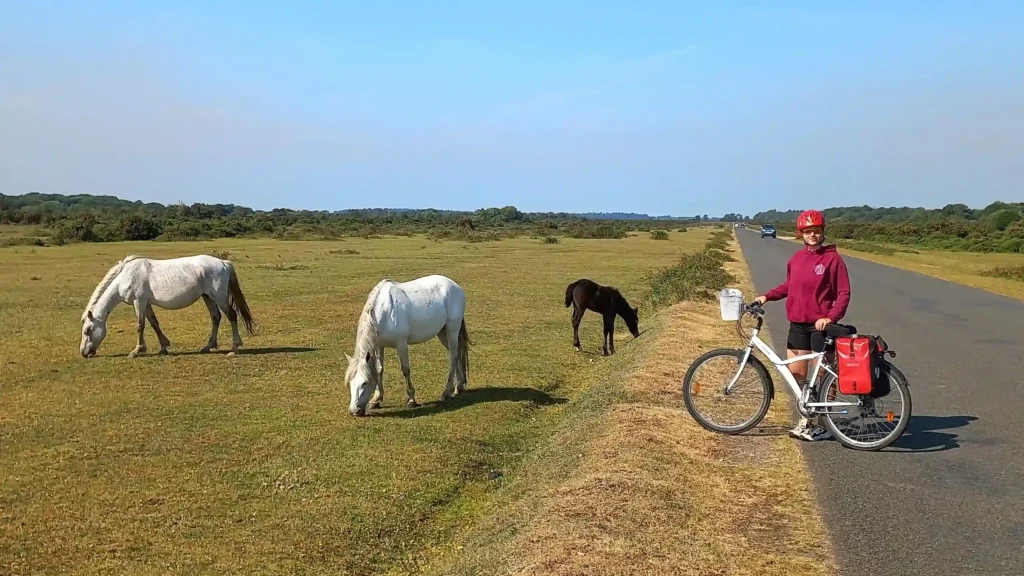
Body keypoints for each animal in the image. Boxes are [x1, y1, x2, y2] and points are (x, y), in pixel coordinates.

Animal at [80, 254, 256, 358]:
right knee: (216, 317)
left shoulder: (139, 301)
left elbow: (140, 326)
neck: (127, 276)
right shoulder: (146, 304)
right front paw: (163, 347)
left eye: (87, 330)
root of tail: (224, 263)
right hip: (208, 297)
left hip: (218, 297)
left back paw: (234, 348)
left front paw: (137, 350)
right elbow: (154, 323)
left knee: (232, 315)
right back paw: (208, 346)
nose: (84, 353)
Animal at [345, 274, 471, 417]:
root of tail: (455, 286)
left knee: (453, 358)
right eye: (350, 383)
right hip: (443, 333)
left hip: (452, 329)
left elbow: (405, 370)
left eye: (364, 383)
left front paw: (411, 400)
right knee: (456, 355)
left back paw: (446, 393)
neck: (383, 313)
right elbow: (379, 370)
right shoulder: (379, 346)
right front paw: (376, 399)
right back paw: (459, 387)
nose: (354, 411)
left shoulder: (401, 344)